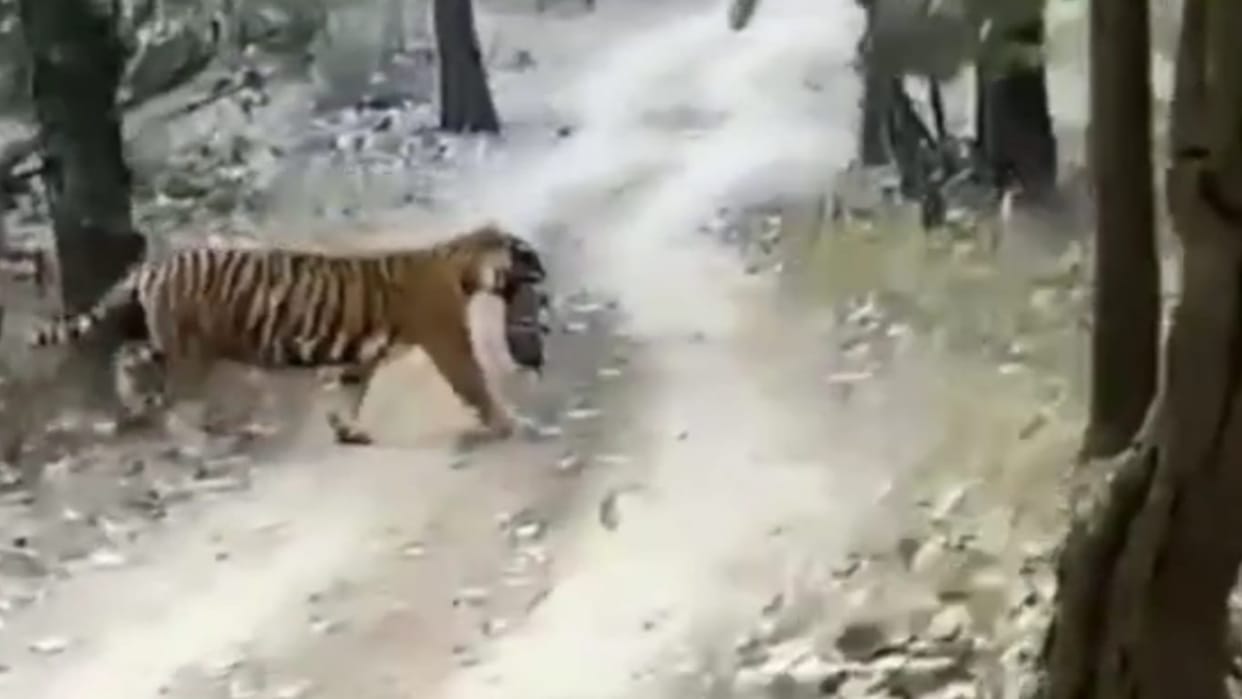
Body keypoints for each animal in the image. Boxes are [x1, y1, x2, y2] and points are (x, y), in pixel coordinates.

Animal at [28, 223, 549, 446]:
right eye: (532, 265)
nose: (545, 279)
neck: (464, 266)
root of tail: (154, 266)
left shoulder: (359, 357)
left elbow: (348, 392)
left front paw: (347, 430)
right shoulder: (447, 339)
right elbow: (475, 384)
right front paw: (511, 423)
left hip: (165, 341)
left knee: (129, 359)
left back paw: (133, 403)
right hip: (190, 351)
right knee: (174, 399)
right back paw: (195, 442)